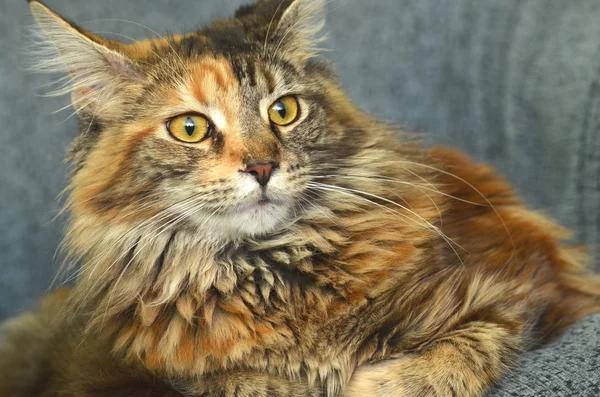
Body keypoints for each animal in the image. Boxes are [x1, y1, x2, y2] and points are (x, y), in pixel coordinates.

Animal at [1, 0, 600, 394]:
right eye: (190, 128)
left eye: (284, 111)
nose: (263, 166)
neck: (269, 272)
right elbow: (238, 383)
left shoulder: (520, 290)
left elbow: (467, 347)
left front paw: (378, 384)